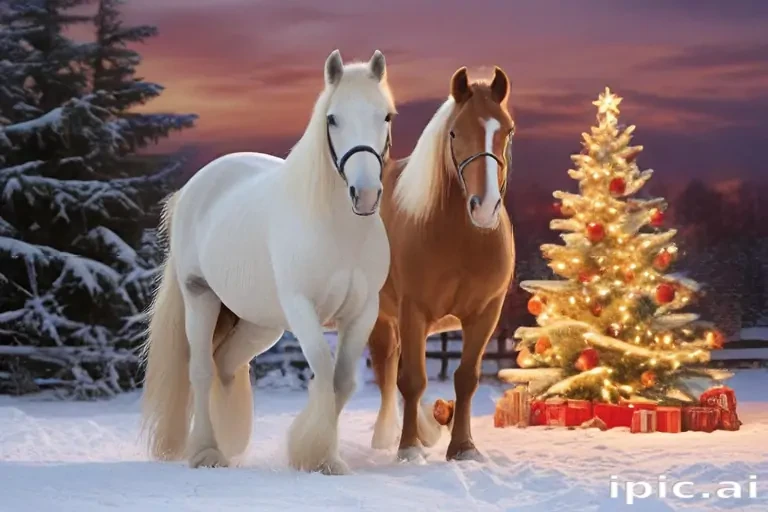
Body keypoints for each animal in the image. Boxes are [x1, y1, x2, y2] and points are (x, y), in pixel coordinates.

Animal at [139, 49, 396, 475]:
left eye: (386, 116)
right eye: (332, 118)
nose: (364, 194)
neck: (337, 229)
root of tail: (193, 188)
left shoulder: (363, 311)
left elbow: (343, 381)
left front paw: (324, 457)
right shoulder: (302, 306)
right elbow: (324, 369)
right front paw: (315, 453)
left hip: (260, 323)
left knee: (225, 363)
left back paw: (229, 441)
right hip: (201, 297)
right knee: (201, 370)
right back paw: (207, 452)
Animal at [368, 66, 516, 462]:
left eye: (508, 130)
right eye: (454, 132)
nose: (485, 207)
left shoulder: (486, 314)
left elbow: (466, 378)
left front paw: (463, 447)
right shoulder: (413, 311)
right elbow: (412, 380)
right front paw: (408, 448)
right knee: (386, 371)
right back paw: (387, 437)